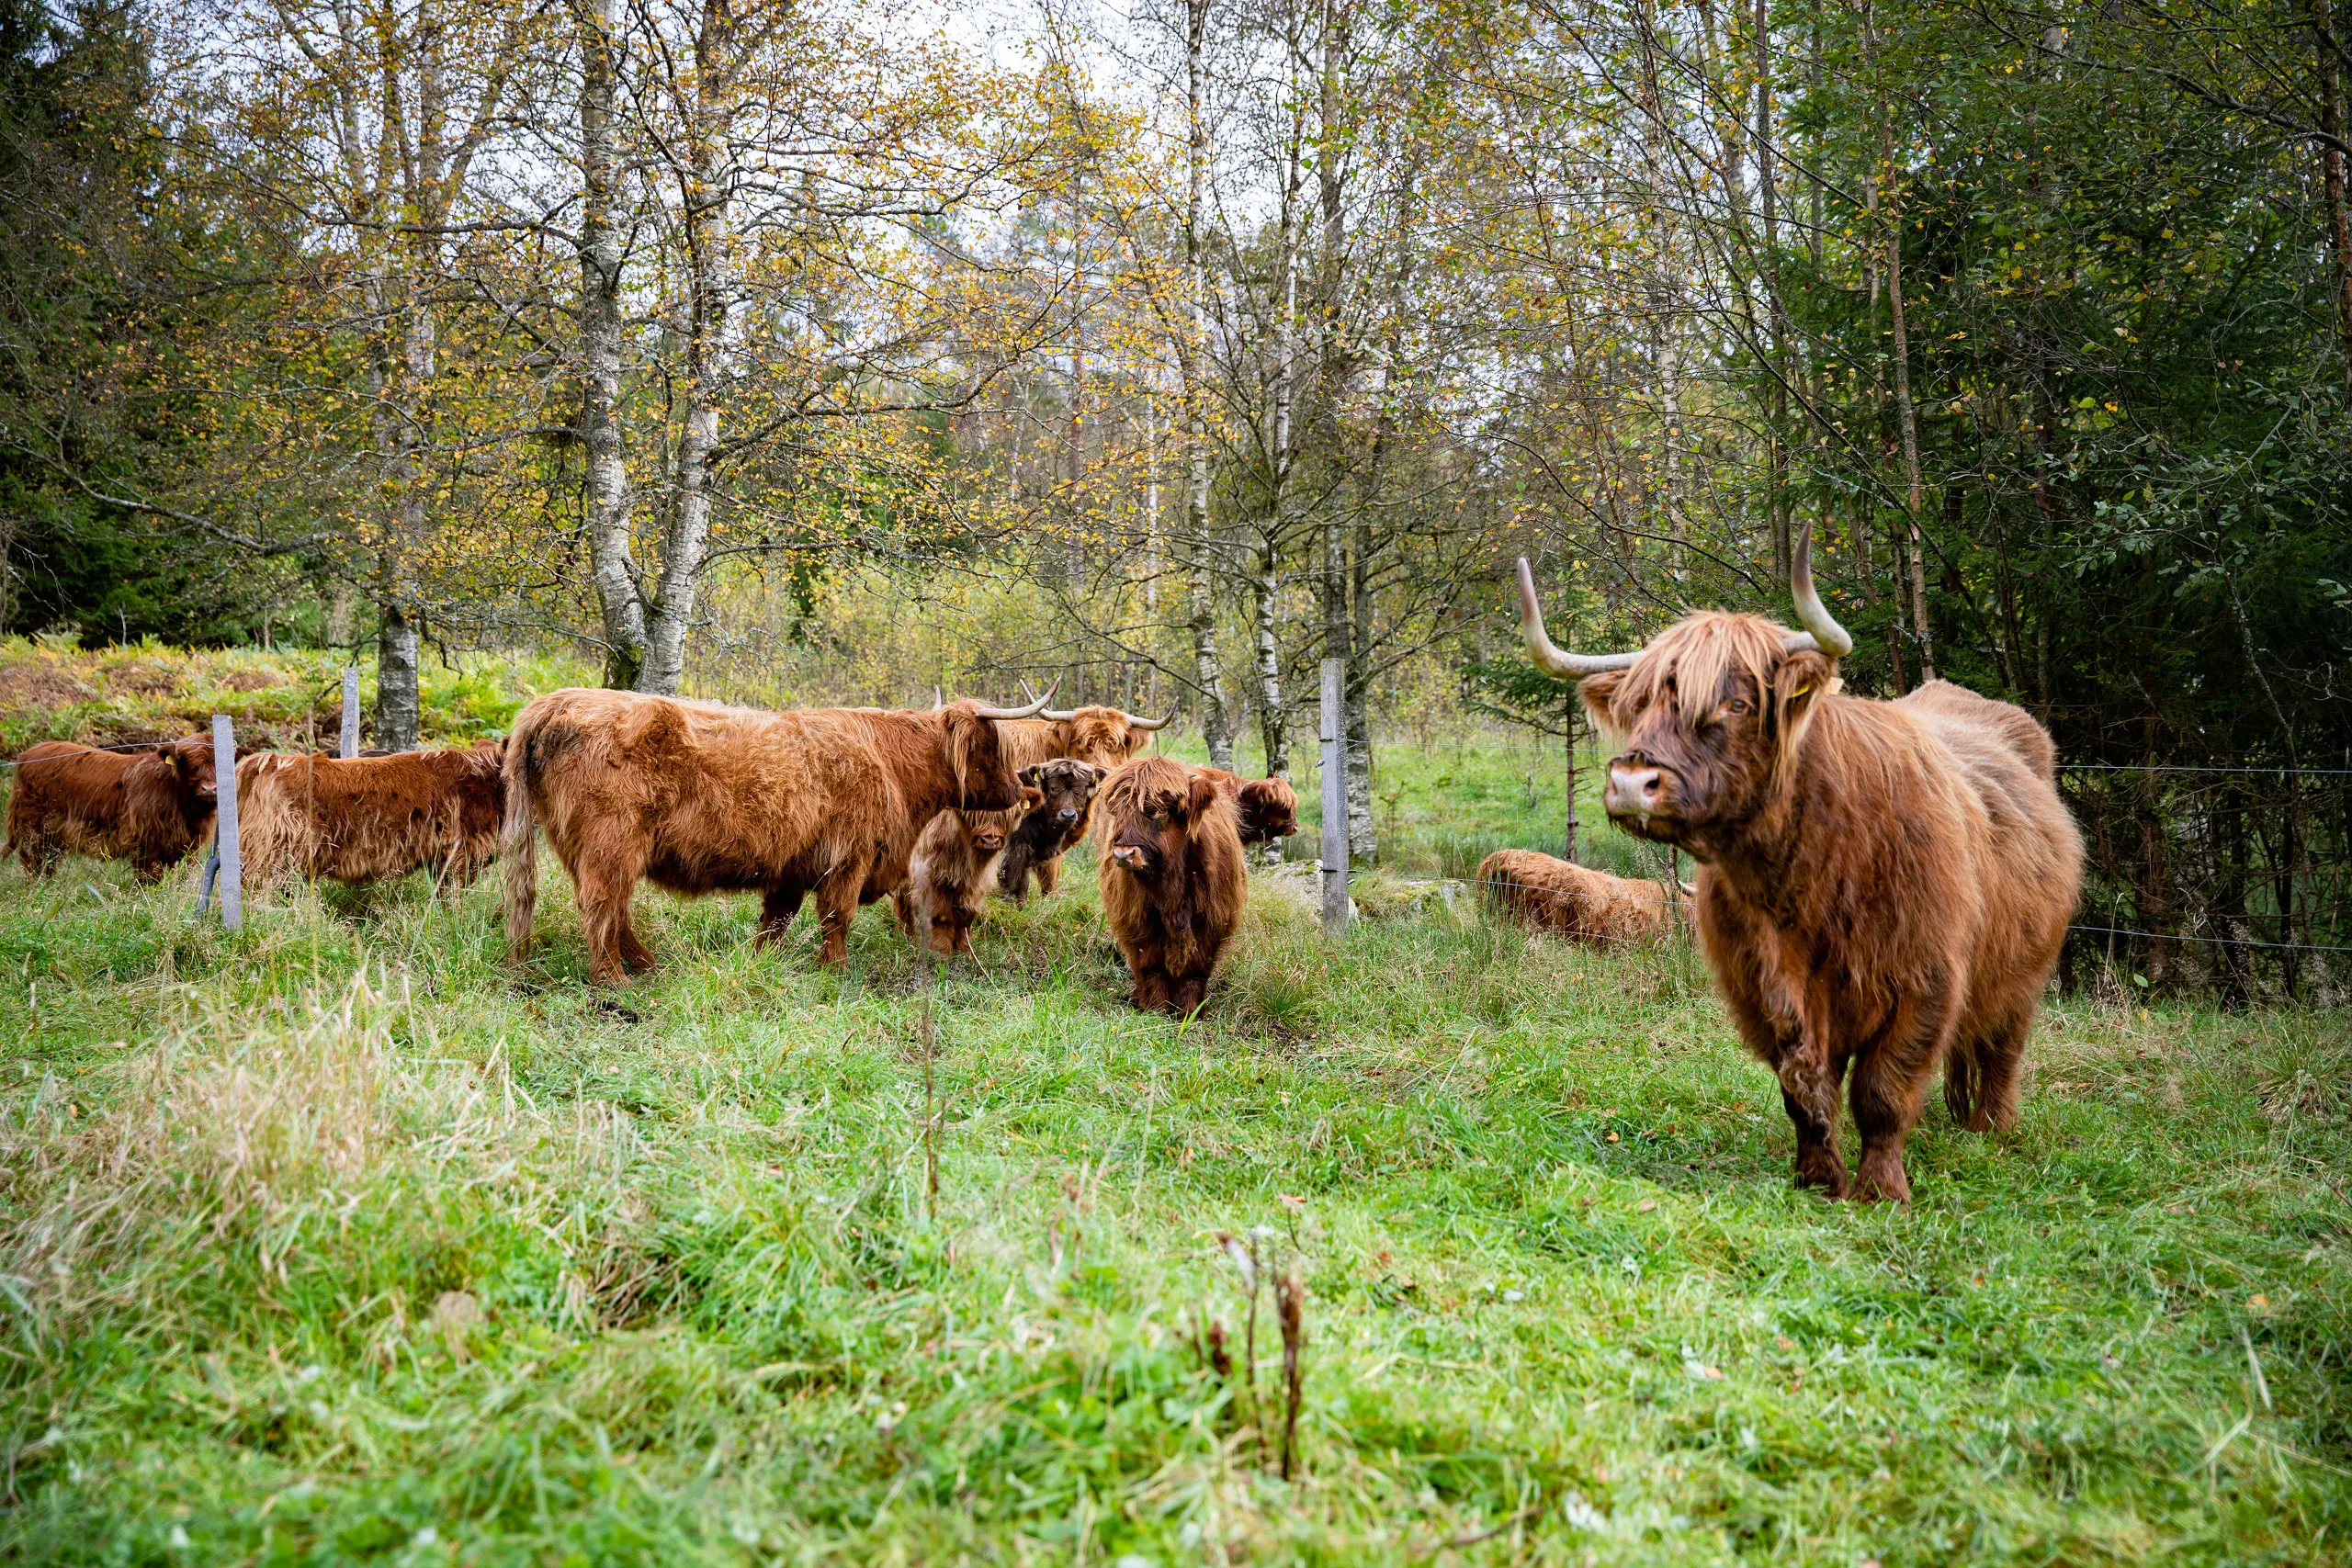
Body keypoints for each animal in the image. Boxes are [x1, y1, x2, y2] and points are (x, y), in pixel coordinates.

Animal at [4, 737, 218, 881]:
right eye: (191, 765)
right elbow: (150, 877)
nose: (209, 789)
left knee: (48, 862)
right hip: (35, 828)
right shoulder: (146, 843)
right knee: (32, 860)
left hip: (53, 836)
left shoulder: (190, 846)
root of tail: (27, 755)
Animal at [896, 788, 1039, 957]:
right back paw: (906, 937)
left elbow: (966, 917)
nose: (990, 841)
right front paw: (941, 951)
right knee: (902, 906)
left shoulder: (976, 882)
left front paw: (966, 950)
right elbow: (941, 915)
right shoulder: (934, 876)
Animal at [995, 759, 1106, 905]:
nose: (1068, 815)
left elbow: (1024, 881)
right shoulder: (1015, 847)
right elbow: (1014, 879)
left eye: (1082, 790)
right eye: (1053, 788)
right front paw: (1010, 903)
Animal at [1095, 756, 1247, 1017]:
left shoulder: (1212, 919)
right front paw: (1156, 1009)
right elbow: (1152, 966)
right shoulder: (1139, 921)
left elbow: (1195, 969)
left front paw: (1190, 1012)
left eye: (1158, 810)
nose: (1123, 854)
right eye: (1116, 810)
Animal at [1514, 526, 2083, 1202]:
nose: (1631, 783)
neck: (1809, 877)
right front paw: (1819, 1177)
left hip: (2024, 971)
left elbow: (1883, 1090)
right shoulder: (1762, 985)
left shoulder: (1927, 977)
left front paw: (1881, 1190)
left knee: (2000, 1048)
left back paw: (1991, 1130)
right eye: (1639, 704)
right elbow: (1802, 1082)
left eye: (1736, 703)